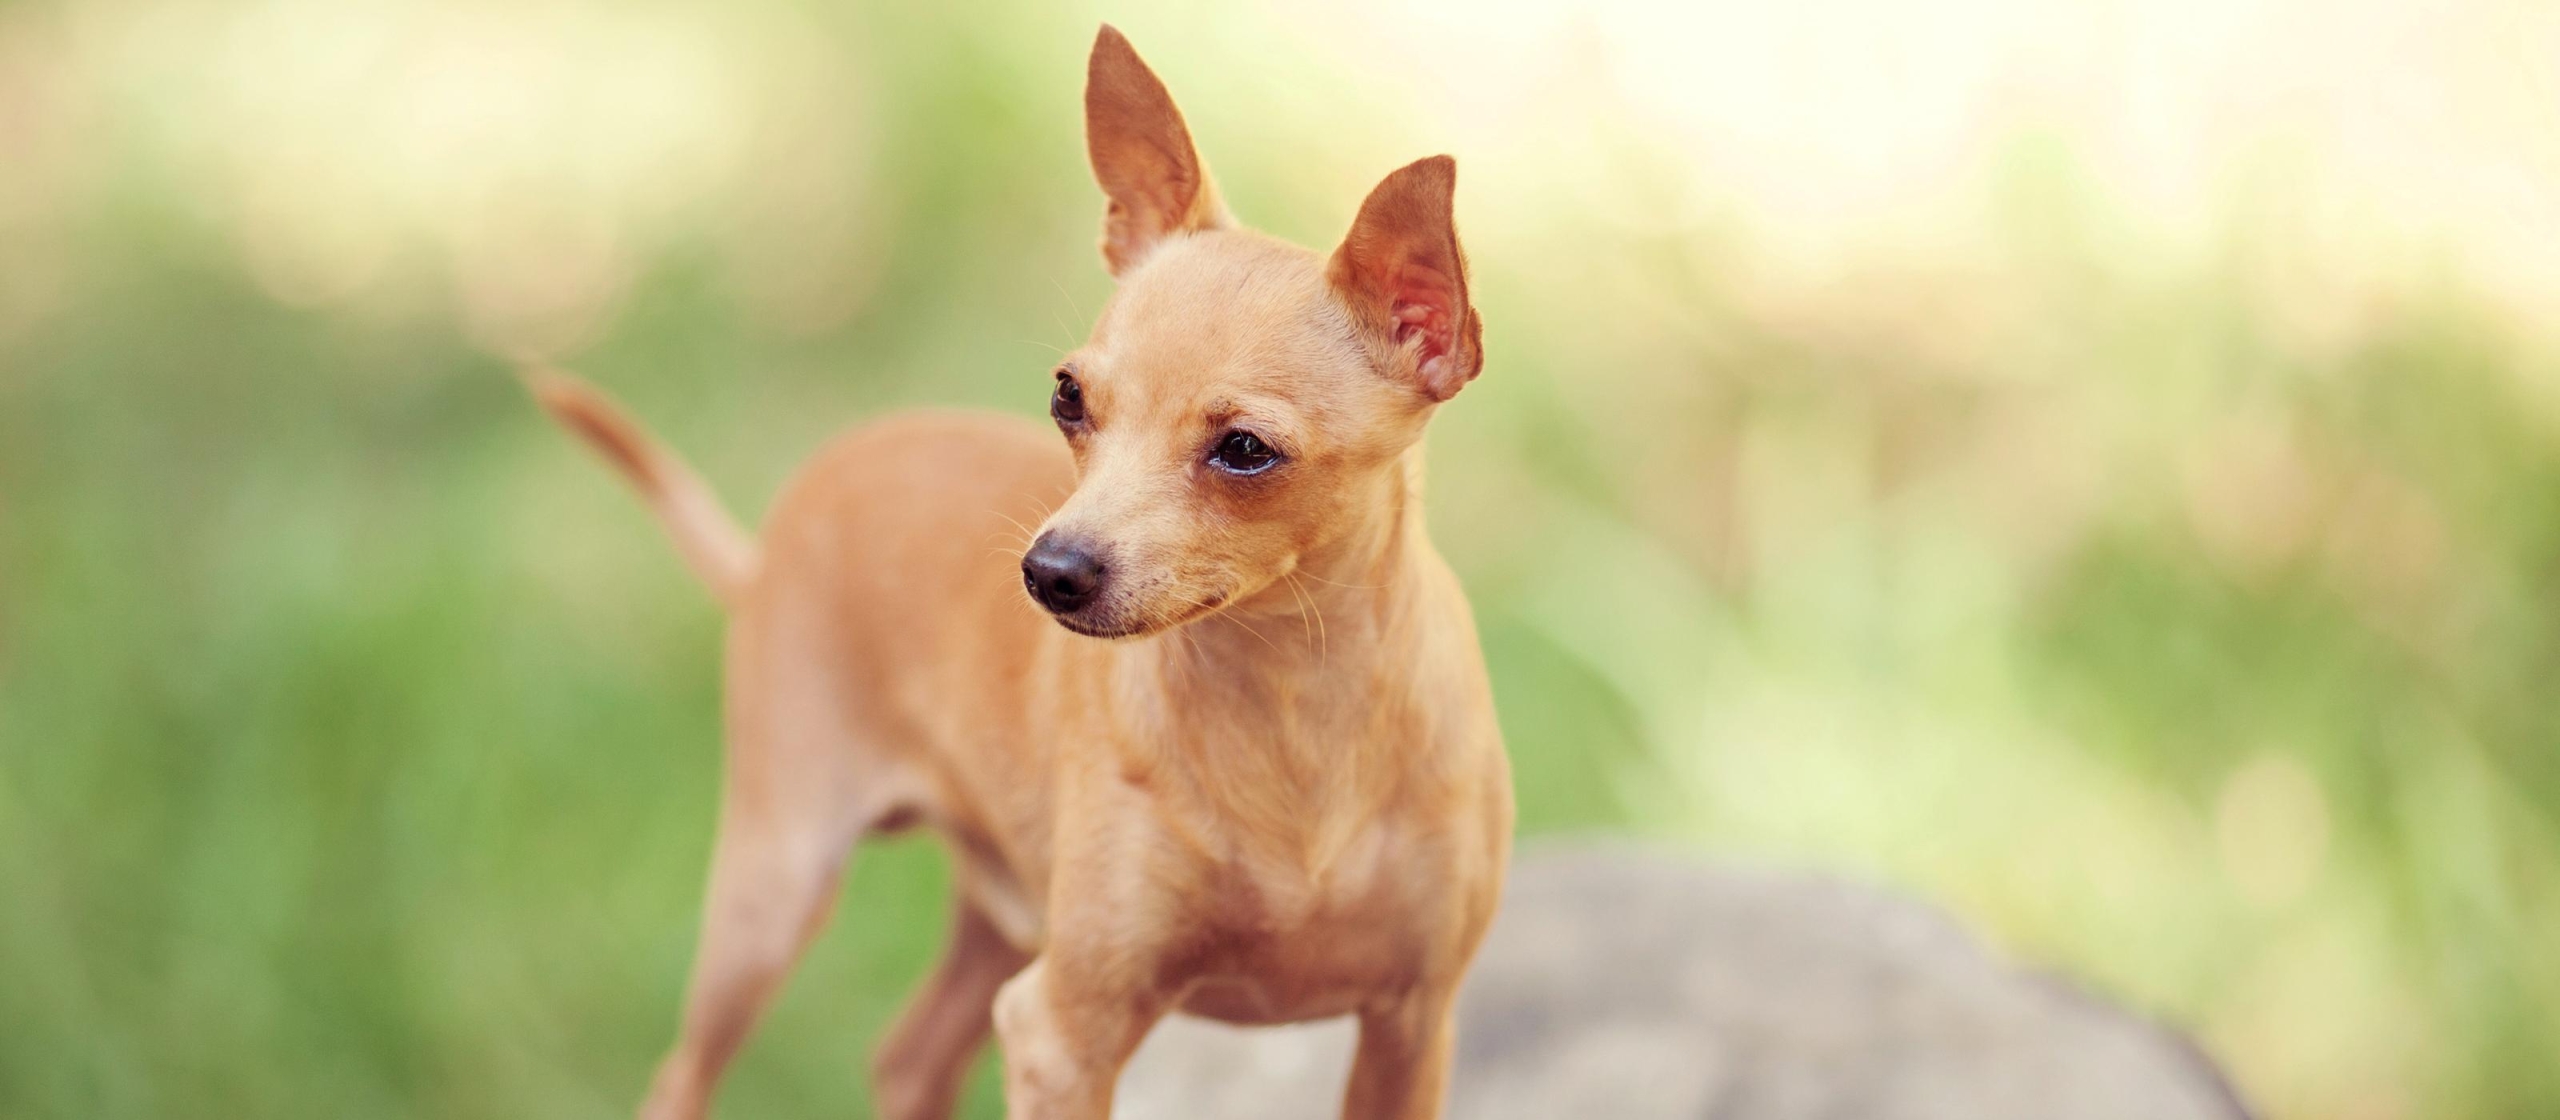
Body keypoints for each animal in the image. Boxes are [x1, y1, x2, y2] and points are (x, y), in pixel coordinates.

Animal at [527, 26, 1505, 1120]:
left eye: (1246, 450)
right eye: (1068, 398)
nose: (1049, 572)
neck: (1293, 710)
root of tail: (780, 530)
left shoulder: (1411, 1029)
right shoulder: (1062, 1035)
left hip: (999, 918)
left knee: (909, 1056)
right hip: (776, 888)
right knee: (685, 1071)